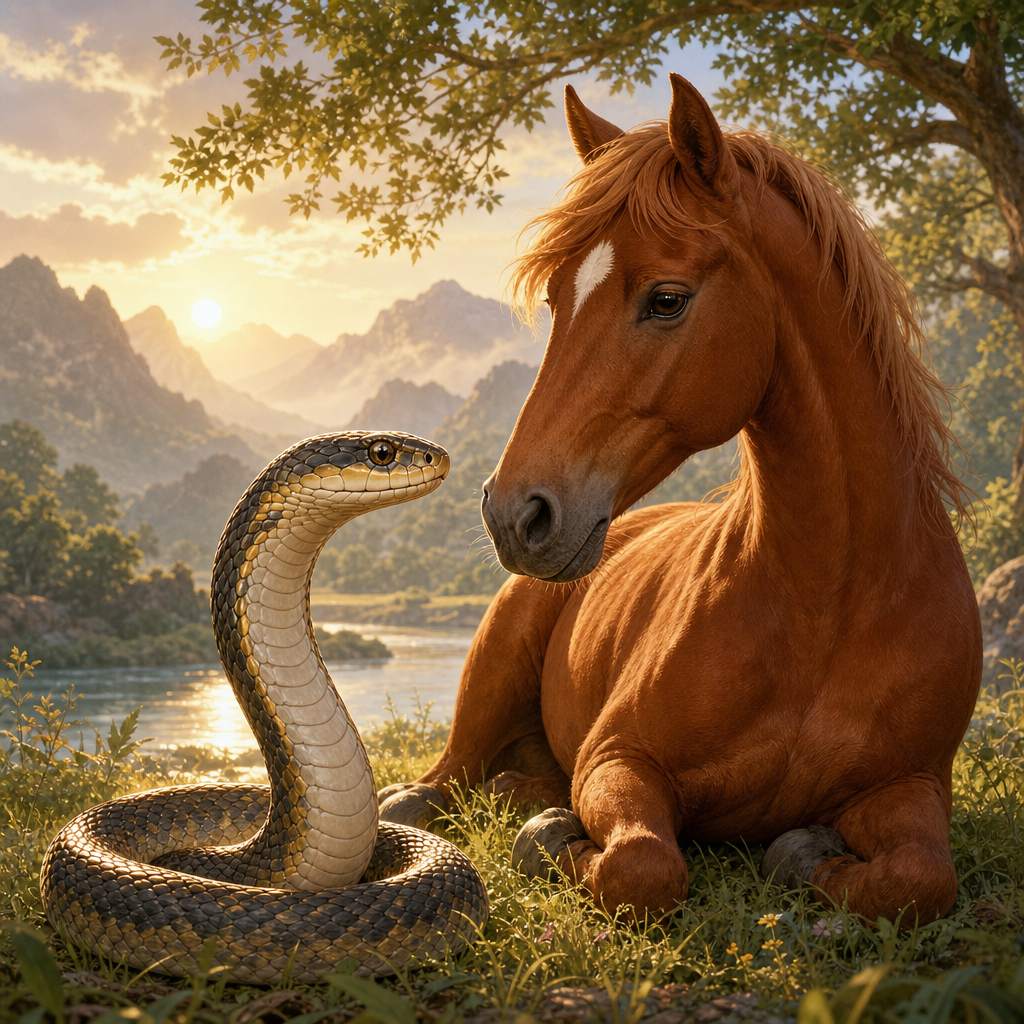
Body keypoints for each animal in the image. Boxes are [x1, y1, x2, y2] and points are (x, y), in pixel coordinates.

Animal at [379, 74, 982, 925]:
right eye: (558, 300)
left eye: (667, 299)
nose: (514, 513)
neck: (826, 603)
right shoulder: (619, 759)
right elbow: (643, 865)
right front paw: (549, 840)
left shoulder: (912, 784)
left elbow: (921, 878)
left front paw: (804, 855)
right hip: (493, 666)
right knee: (443, 783)